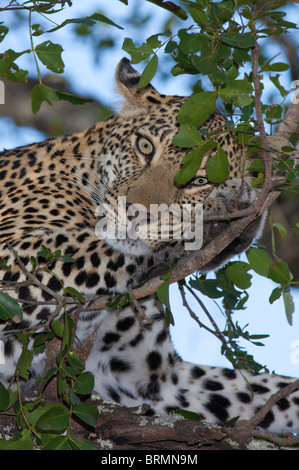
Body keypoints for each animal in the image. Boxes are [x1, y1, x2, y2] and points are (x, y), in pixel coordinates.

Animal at [0, 57, 299, 436]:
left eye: (199, 180)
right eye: (144, 147)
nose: (136, 212)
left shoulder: (156, 377)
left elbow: (262, 388)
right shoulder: (13, 260)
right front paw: (216, 222)